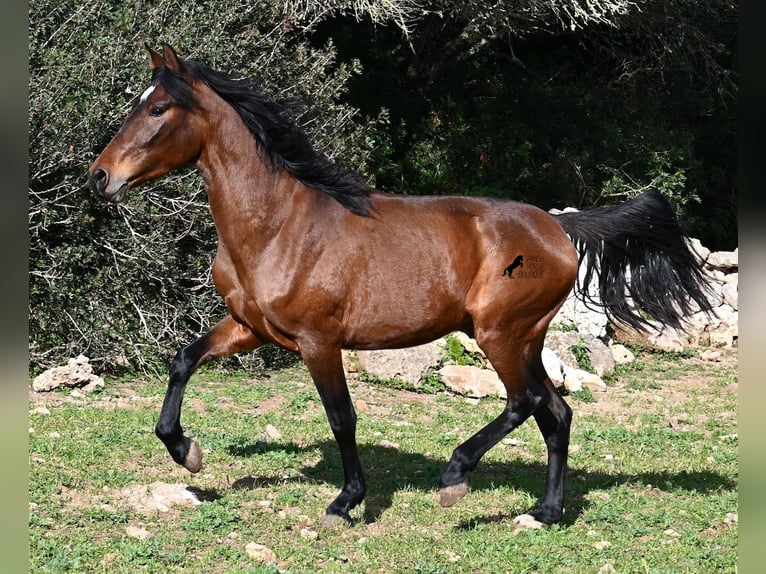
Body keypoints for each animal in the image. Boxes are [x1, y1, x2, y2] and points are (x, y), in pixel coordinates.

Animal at [88, 45, 712, 532]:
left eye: (158, 108)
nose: (99, 177)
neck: (277, 225)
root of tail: (560, 228)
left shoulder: (318, 341)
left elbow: (342, 418)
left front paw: (345, 502)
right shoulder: (250, 328)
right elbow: (182, 361)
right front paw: (186, 452)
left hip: (501, 333)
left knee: (526, 402)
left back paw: (456, 477)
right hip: (524, 337)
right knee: (555, 412)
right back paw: (545, 512)